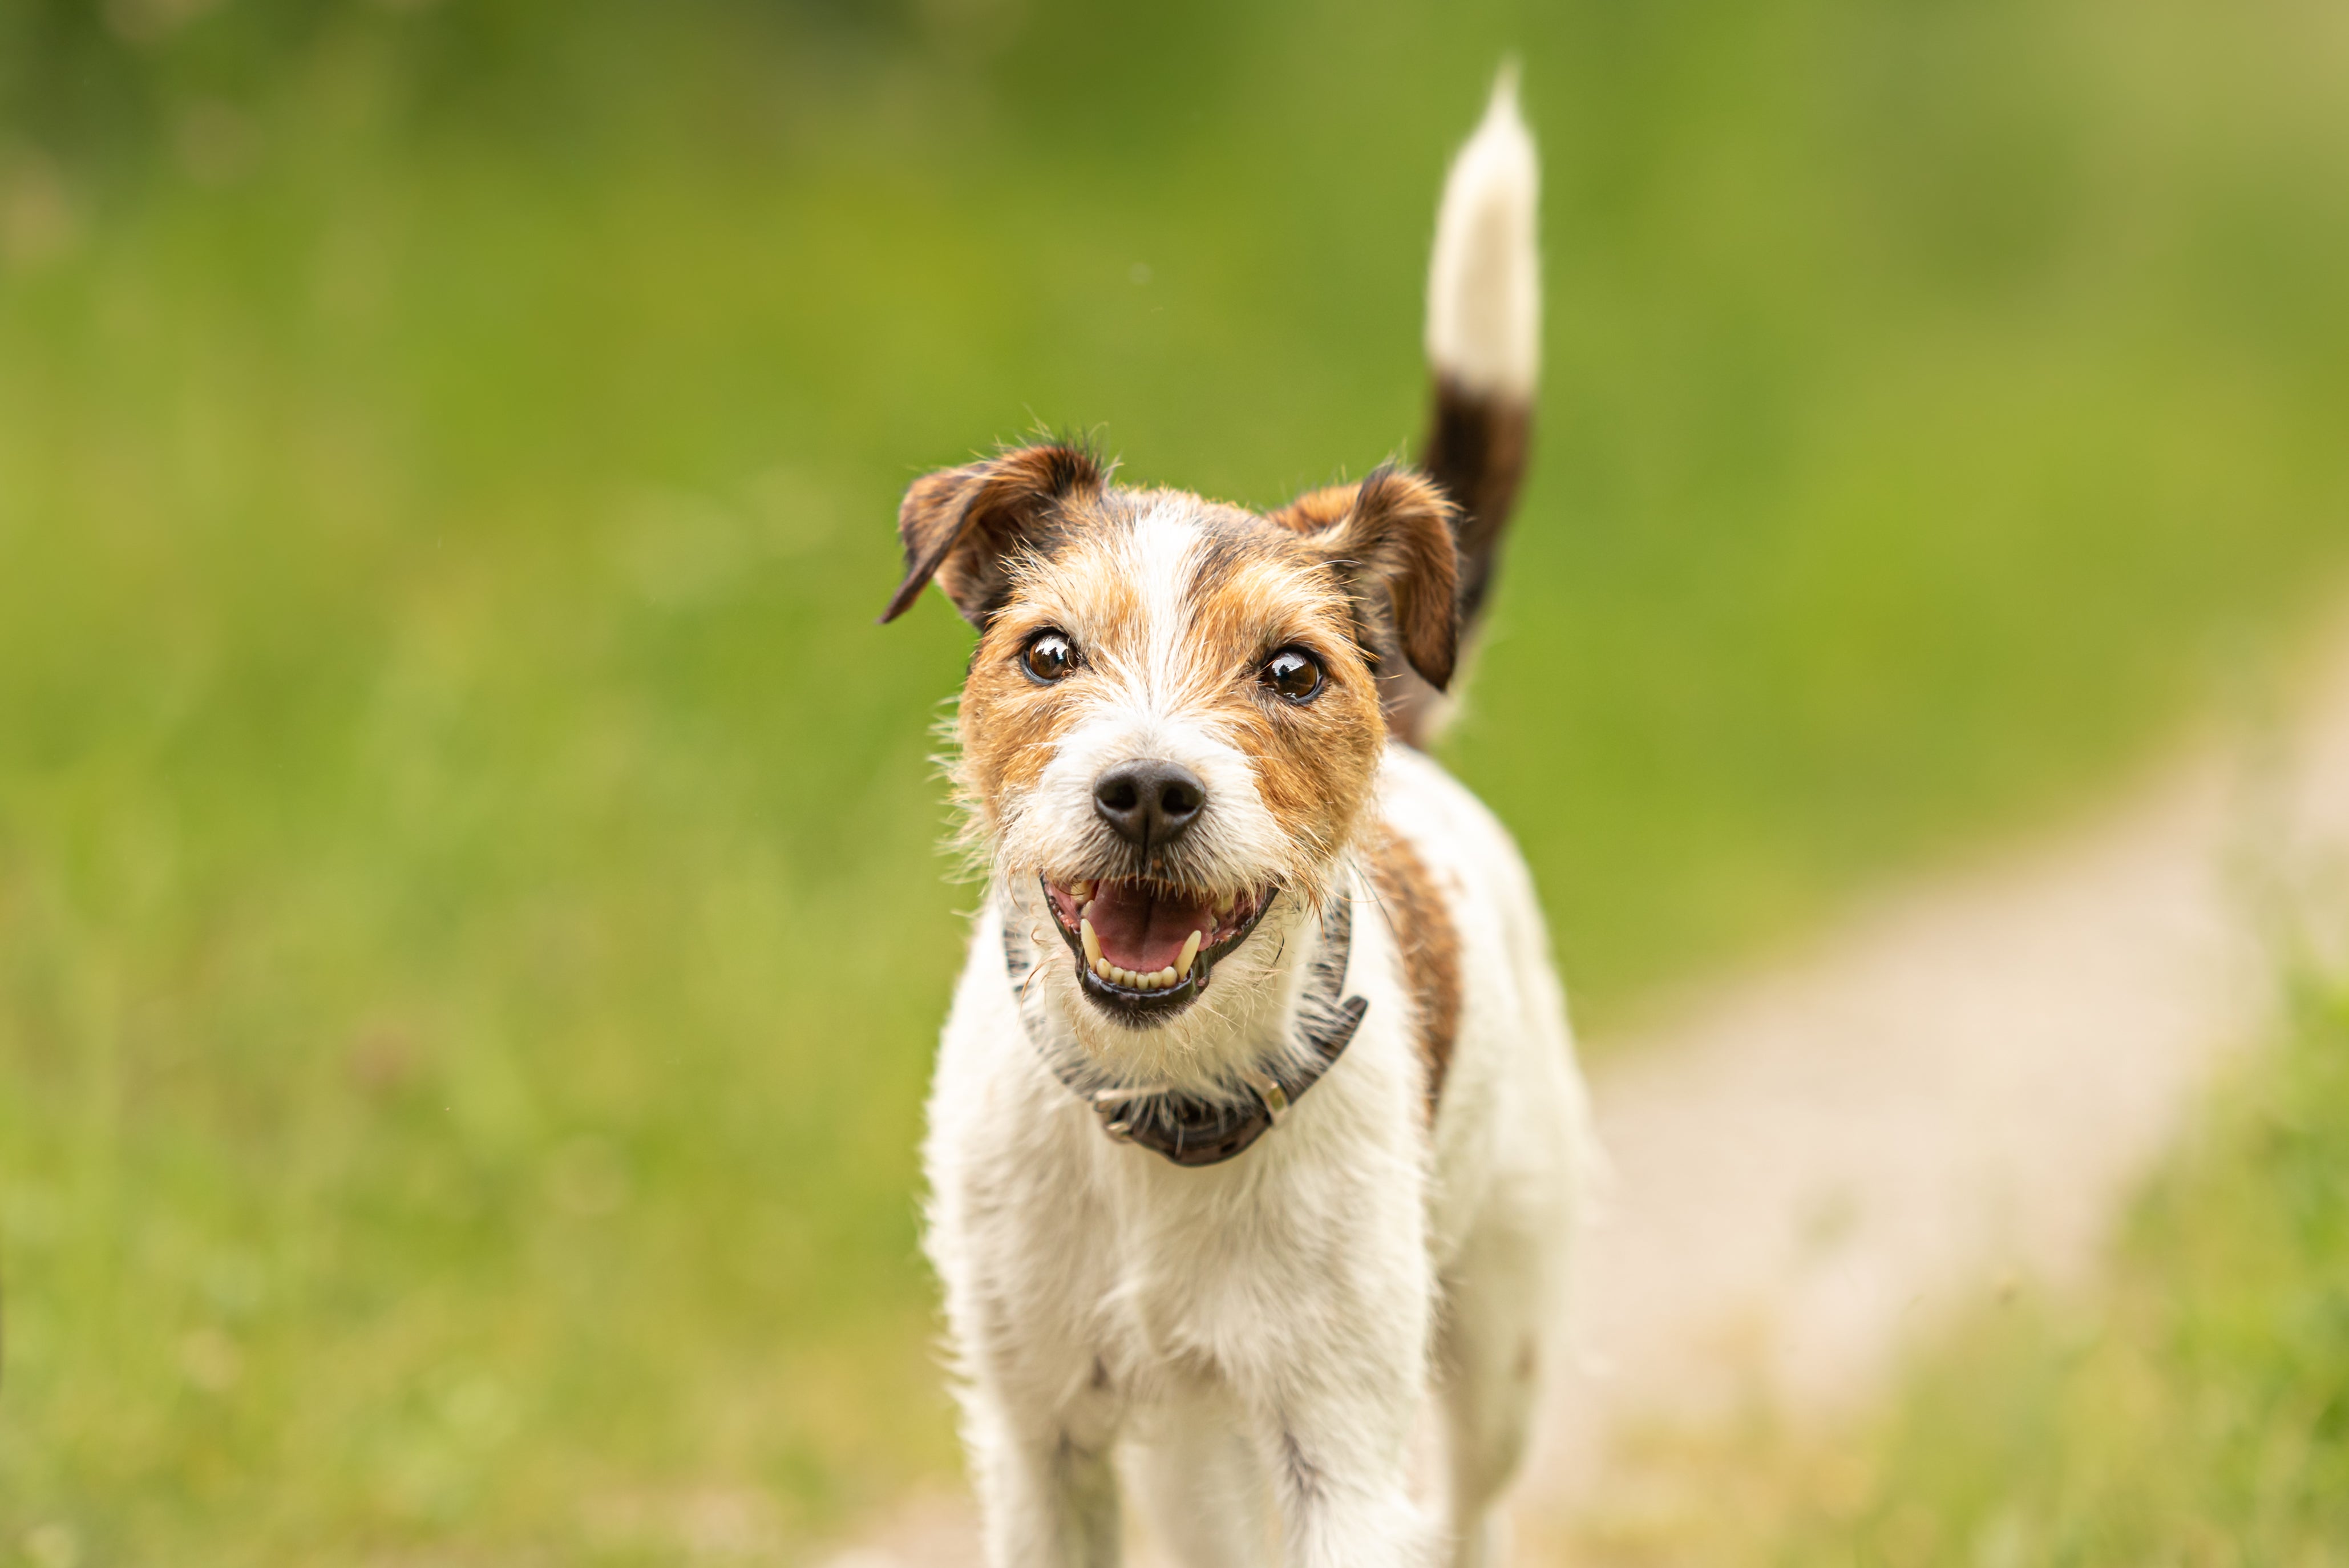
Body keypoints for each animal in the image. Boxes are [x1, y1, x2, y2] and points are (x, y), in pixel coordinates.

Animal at [883, 80, 1597, 1568]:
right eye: (1049, 652)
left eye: (1291, 672)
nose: (1149, 791)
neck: (1159, 1107)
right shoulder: (1036, 1442)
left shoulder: (1342, 1445)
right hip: (1187, 1445)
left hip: (1496, 1338)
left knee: (1478, 1509)